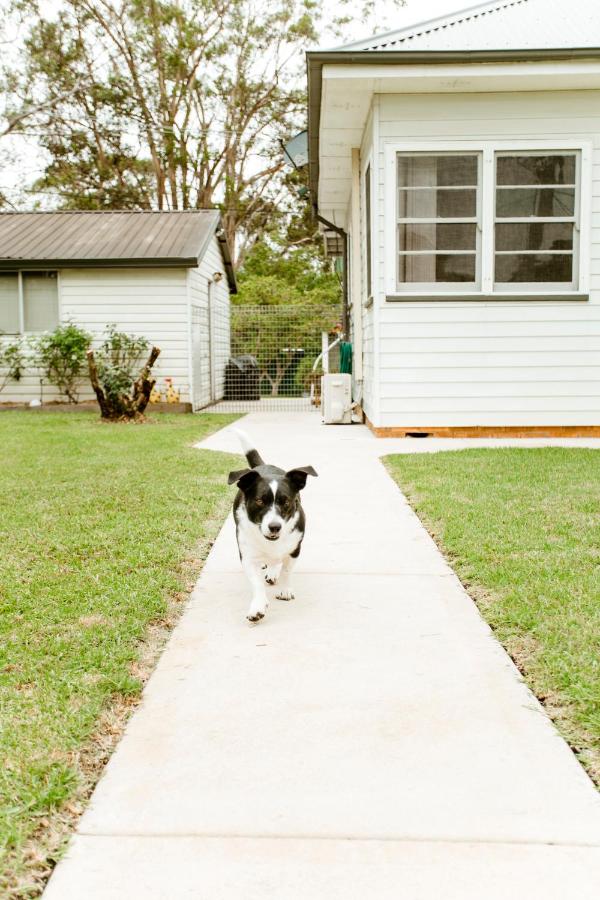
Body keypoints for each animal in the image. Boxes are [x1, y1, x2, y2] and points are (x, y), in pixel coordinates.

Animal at [227, 432, 316, 624]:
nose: (274, 527)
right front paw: (258, 607)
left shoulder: (294, 549)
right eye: (260, 501)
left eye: (286, 502)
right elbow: (256, 583)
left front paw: (285, 588)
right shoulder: (247, 556)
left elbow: (286, 571)